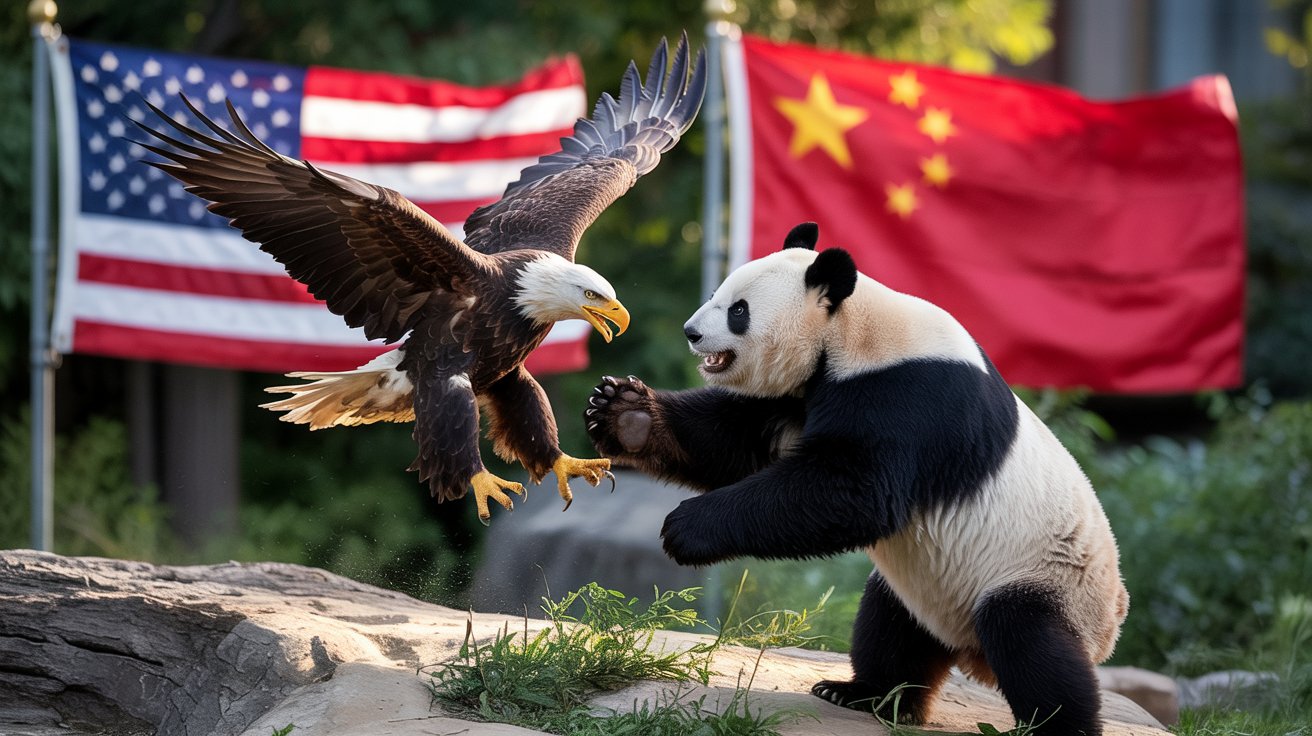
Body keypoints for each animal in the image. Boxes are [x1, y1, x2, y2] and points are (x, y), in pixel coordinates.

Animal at [584, 222, 1129, 736]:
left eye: (738, 310)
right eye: (718, 293)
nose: (692, 332)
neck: (853, 329)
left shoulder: (909, 396)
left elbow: (855, 492)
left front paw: (685, 527)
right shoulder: (800, 395)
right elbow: (736, 441)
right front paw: (626, 415)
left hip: (1045, 575)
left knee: (1030, 641)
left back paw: (1054, 724)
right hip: (925, 581)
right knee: (892, 626)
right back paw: (865, 694)